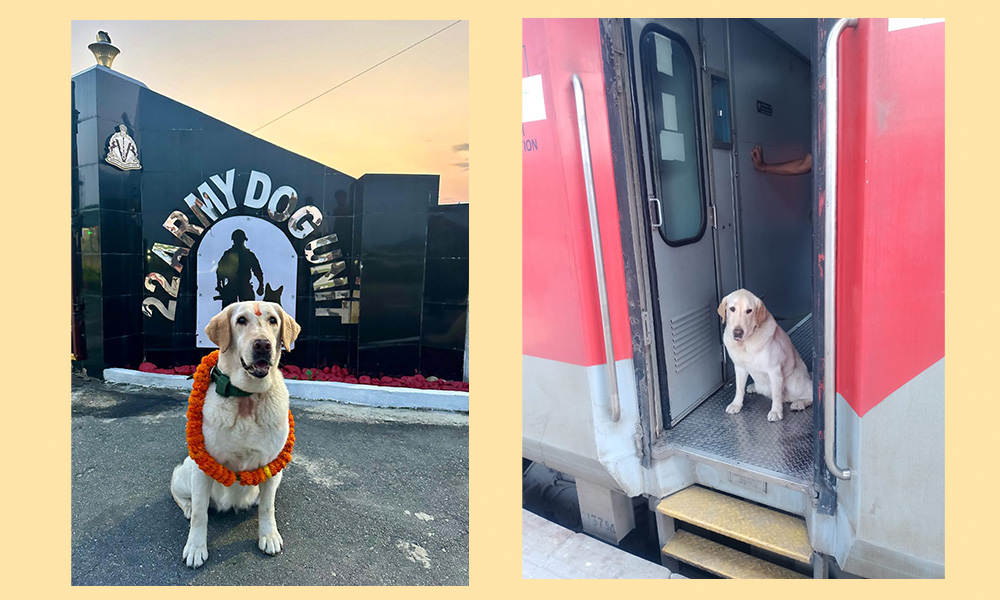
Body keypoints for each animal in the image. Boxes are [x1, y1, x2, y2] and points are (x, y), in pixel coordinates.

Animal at [716, 290, 808, 422]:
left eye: (749, 311)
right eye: (732, 309)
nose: (738, 332)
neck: (744, 344)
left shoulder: (774, 370)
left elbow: (776, 394)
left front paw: (776, 411)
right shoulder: (739, 367)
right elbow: (739, 388)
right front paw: (736, 404)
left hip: (794, 383)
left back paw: (799, 403)